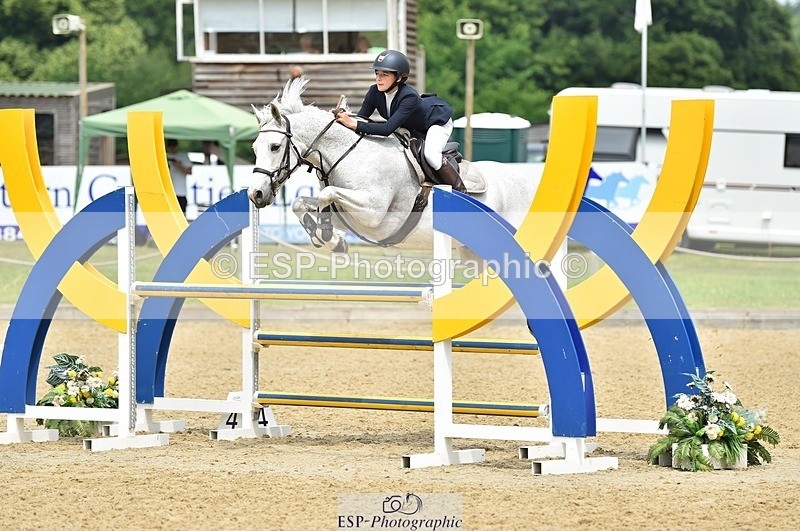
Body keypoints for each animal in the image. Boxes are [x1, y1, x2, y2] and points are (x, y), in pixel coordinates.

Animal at [248, 77, 537, 254]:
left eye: (275, 147)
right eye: (254, 149)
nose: (255, 194)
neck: (348, 154)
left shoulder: (372, 212)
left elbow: (326, 194)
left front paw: (327, 235)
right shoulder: (349, 216)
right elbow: (302, 203)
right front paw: (331, 240)